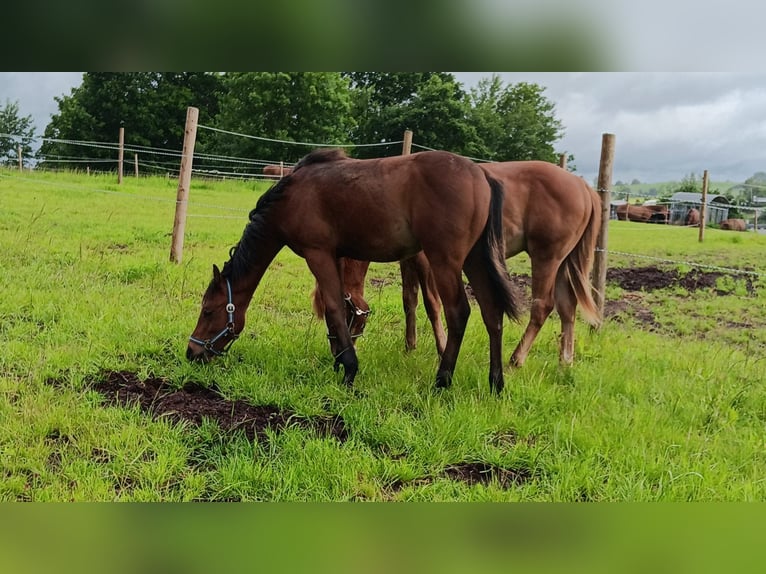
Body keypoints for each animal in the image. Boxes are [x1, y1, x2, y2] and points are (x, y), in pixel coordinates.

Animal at [188, 148, 520, 396]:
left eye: (208, 311)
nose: (192, 352)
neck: (291, 197)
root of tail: (482, 175)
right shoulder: (336, 256)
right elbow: (339, 308)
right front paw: (338, 359)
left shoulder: (318, 254)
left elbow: (335, 306)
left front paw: (349, 369)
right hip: (474, 260)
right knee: (492, 312)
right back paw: (496, 382)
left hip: (445, 261)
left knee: (458, 313)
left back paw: (442, 380)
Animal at [318, 161, 608, 368]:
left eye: (340, 317)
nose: (337, 351)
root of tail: (582, 186)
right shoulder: (408, 260)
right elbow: (409, 300)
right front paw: (410, 345)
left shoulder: (429, 260)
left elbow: (432, 305)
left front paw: (441, 347)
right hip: (563, 261)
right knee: (567, 307)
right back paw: (565, 361)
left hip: (546, 257)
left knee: (543, 306)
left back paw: (517, 359)